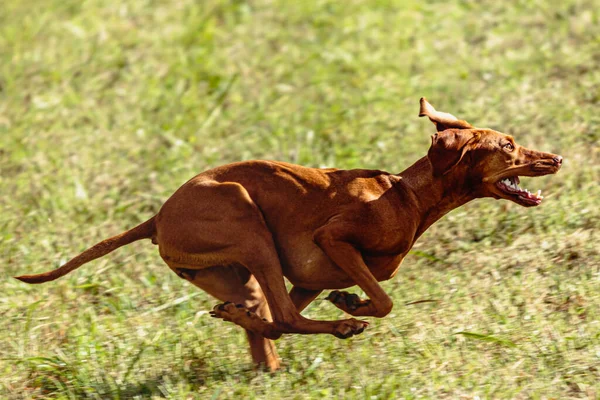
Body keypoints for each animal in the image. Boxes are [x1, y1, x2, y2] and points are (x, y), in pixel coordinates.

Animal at [15, 99, 564, 372]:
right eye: (508, 145)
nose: (556, 158)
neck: (406, 195)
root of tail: (156, 218)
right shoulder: (333, 240)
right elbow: (382, 300)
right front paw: (352, 306)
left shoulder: (306, 278)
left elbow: (310, 309)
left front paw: (346, 303)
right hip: (247, 221)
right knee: (280, 319)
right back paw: (340, 327)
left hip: (242, 271)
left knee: (267, 321)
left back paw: (246, 328)